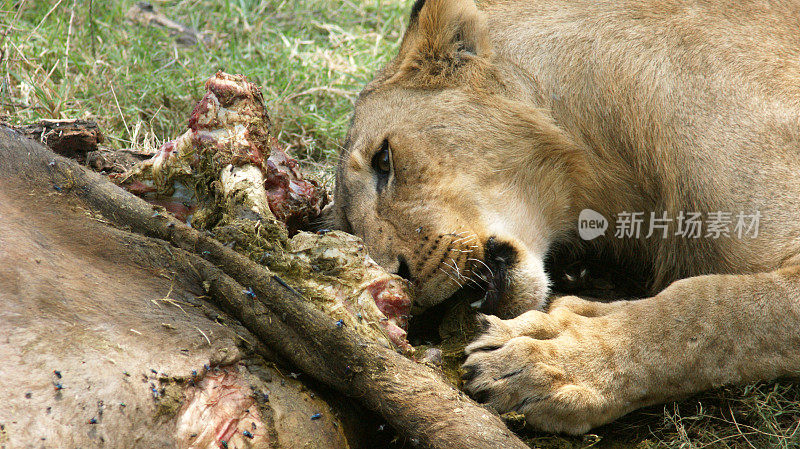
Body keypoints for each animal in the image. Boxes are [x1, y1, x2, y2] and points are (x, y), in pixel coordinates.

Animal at [324, 0, 800, 434]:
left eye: (384, 160)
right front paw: (560, 323)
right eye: (350, 230)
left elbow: (709, 308)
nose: (400, 277)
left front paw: (552, 363)